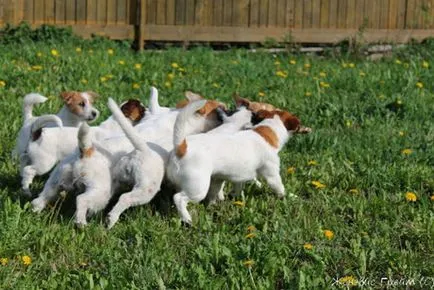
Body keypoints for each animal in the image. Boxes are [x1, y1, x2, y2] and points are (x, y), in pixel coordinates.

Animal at [165, 107, 306, 225]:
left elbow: (234, 190)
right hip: (198, 188)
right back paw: (187, 219)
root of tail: (181, 147)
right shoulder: (272, 175)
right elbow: (280, 188)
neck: (267, 131)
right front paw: (290, 197)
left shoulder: (234, 179)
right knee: (178, 198)